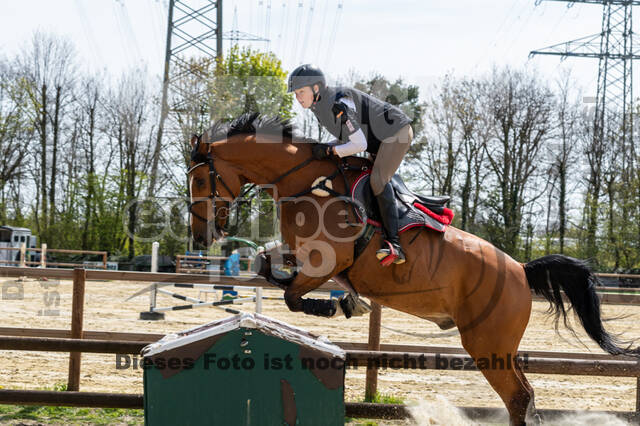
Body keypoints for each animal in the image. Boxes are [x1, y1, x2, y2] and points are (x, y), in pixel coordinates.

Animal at [188, 112, 636, 422]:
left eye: (199, 180)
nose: (200, 235)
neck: (308, 184)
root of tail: (521, 272)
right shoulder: (300, 255)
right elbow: (266, 263)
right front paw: (347, 301)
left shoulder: (325, 262)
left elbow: (294, 297)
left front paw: (343, 304)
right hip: (498, 347)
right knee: (524, 398)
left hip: (487, 345)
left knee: (518, 397)